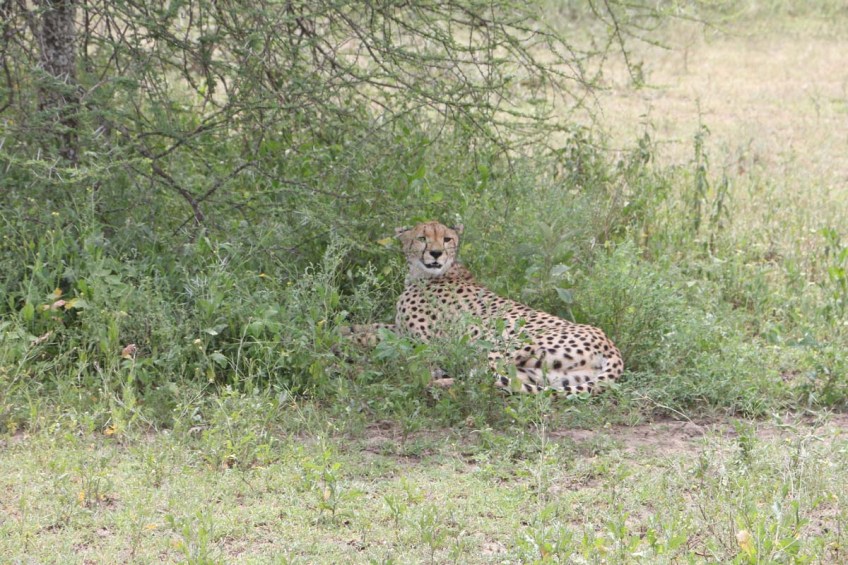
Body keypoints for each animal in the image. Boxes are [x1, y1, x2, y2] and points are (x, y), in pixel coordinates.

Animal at [346, 221, 624, 395]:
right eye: (422, 238)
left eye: (446, 239)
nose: (435, 254)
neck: (424, 274)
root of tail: (609, 343)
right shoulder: (401, 330)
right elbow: (369, 326)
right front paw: (343, 330)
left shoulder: (424, 342)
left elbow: (374, 338)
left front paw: (348, 344)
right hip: (547, 375)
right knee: (498, 382)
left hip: (500, 343)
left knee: (481, 379)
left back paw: (428, 382)